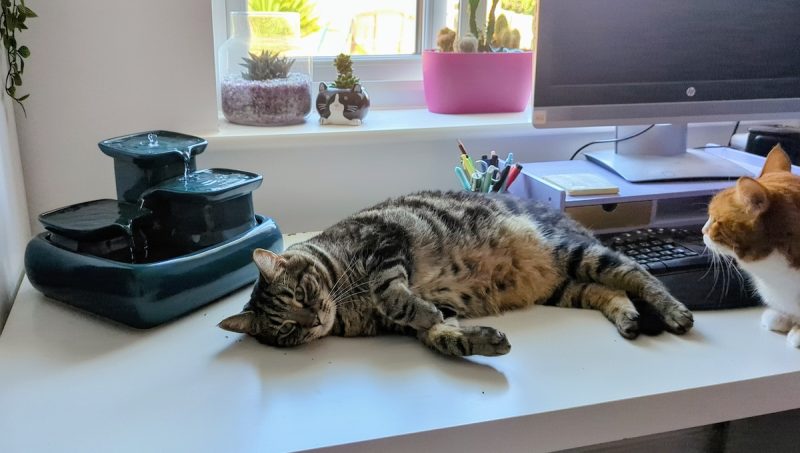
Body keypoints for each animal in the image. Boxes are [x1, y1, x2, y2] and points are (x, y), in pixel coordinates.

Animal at [219, 189, 692, 354]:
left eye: (301, 295)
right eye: (285, 329)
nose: (314, 320)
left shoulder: (385, 242)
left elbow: (391, 292)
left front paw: (423, 310)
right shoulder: (408, 322)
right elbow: (438, 334)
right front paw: (476, 340)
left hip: (573, 252)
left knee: (635, 272)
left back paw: (674, 311)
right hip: (564, 286)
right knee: (607, 291)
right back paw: (628, 317)